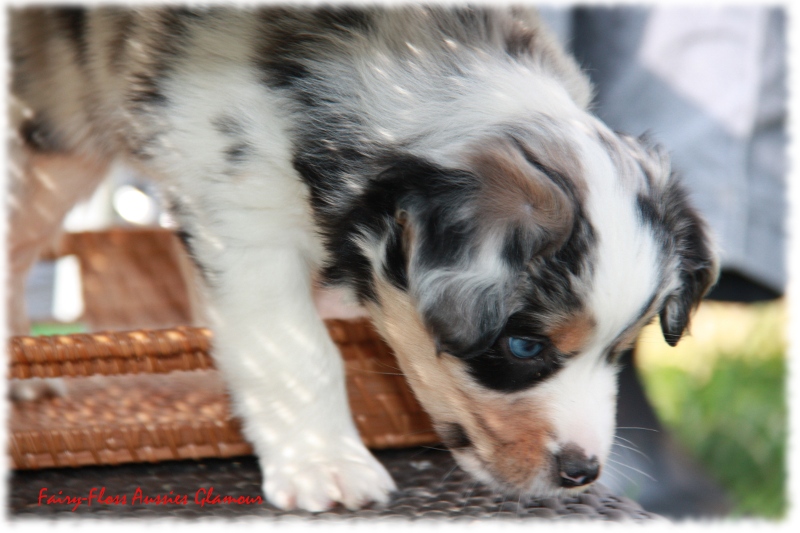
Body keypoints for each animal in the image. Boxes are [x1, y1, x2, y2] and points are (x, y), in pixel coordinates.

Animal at [6, 5, 720, 512]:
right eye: (523, 346)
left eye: (622, 348)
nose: (582, 473)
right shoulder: (243, 214)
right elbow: (297, 350)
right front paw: (325, 466)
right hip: (53, 138)